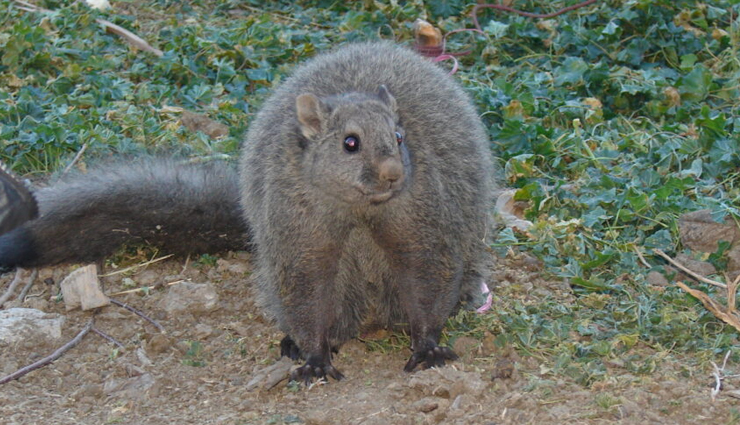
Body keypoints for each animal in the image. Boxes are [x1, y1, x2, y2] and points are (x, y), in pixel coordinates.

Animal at [0, 42, 495, 383]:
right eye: (349, 143)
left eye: (400, 136)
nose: (394, 173)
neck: (359, 213)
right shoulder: (299, 236)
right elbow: (306, 296)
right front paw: (314, 357)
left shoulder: (422, 224)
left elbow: (427, 283)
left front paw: (427, 347)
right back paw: (296, 342)